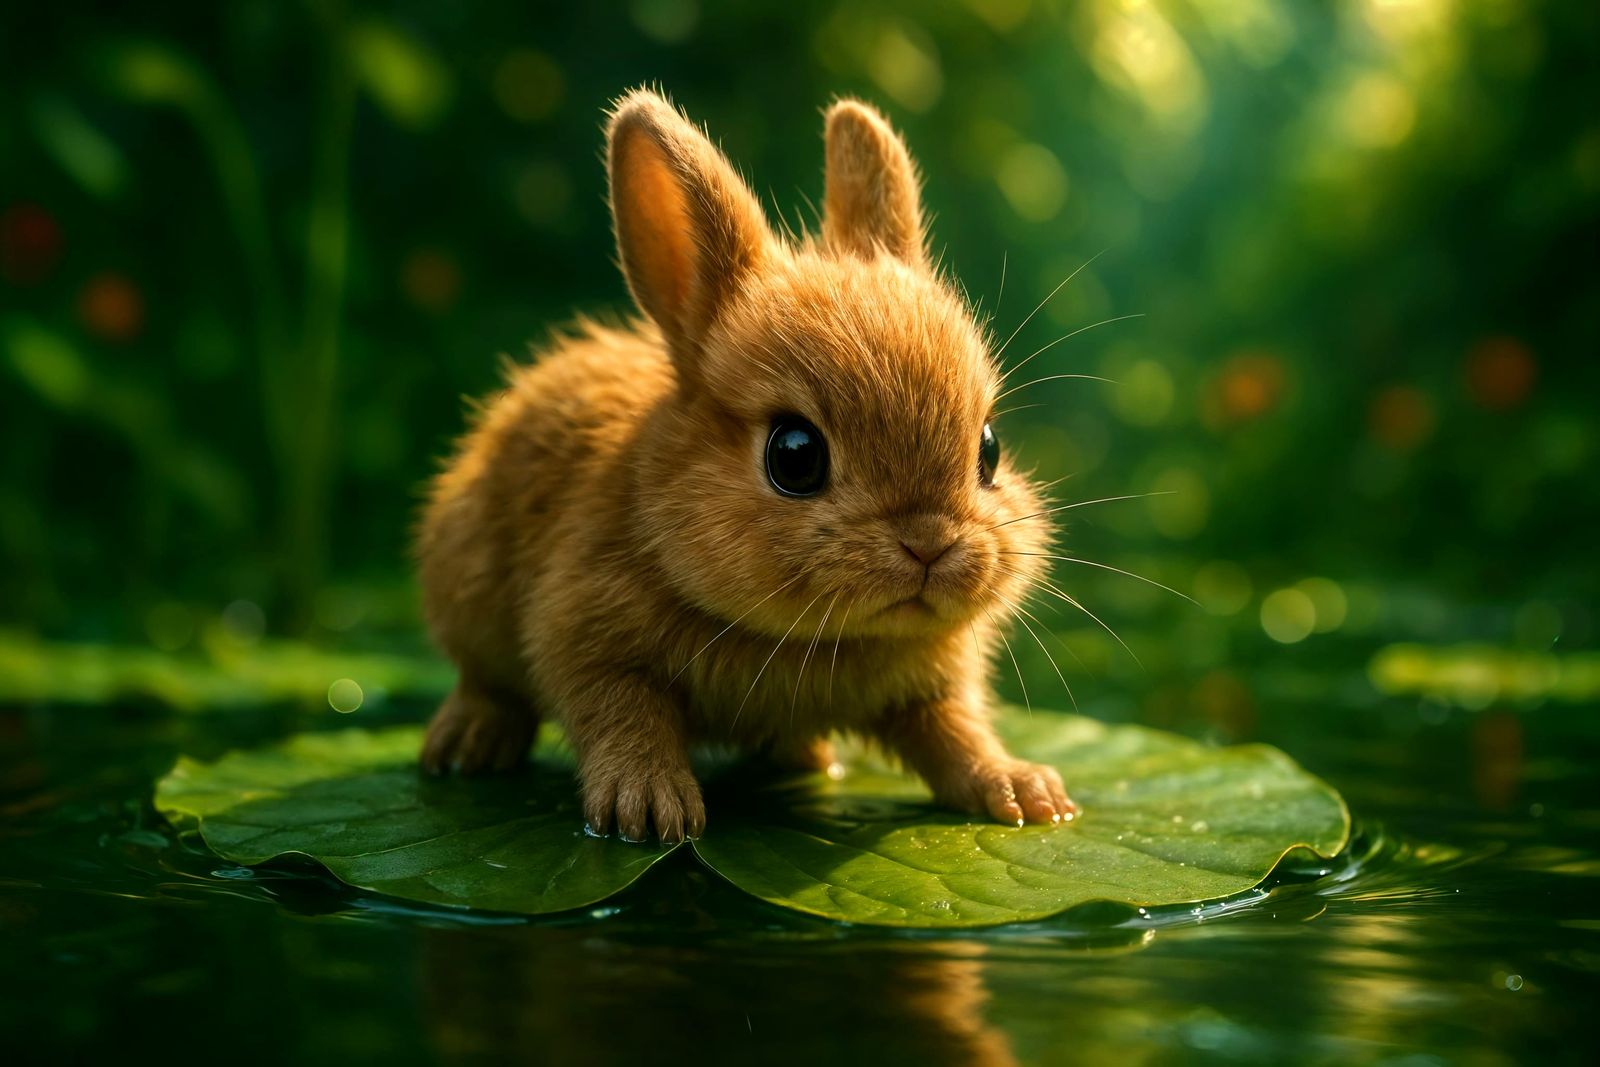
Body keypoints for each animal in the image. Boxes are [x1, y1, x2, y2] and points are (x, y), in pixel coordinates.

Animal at [416, 87, 1078, 842]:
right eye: (794, 455)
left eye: (988, 449)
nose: (930, 544)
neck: (813, 639)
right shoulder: (586, 639)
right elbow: (623, 715)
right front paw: (651, 810)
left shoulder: (930, 690)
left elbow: (956, 735)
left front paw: (1026, 792)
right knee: (487, 684)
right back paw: (466, 746)